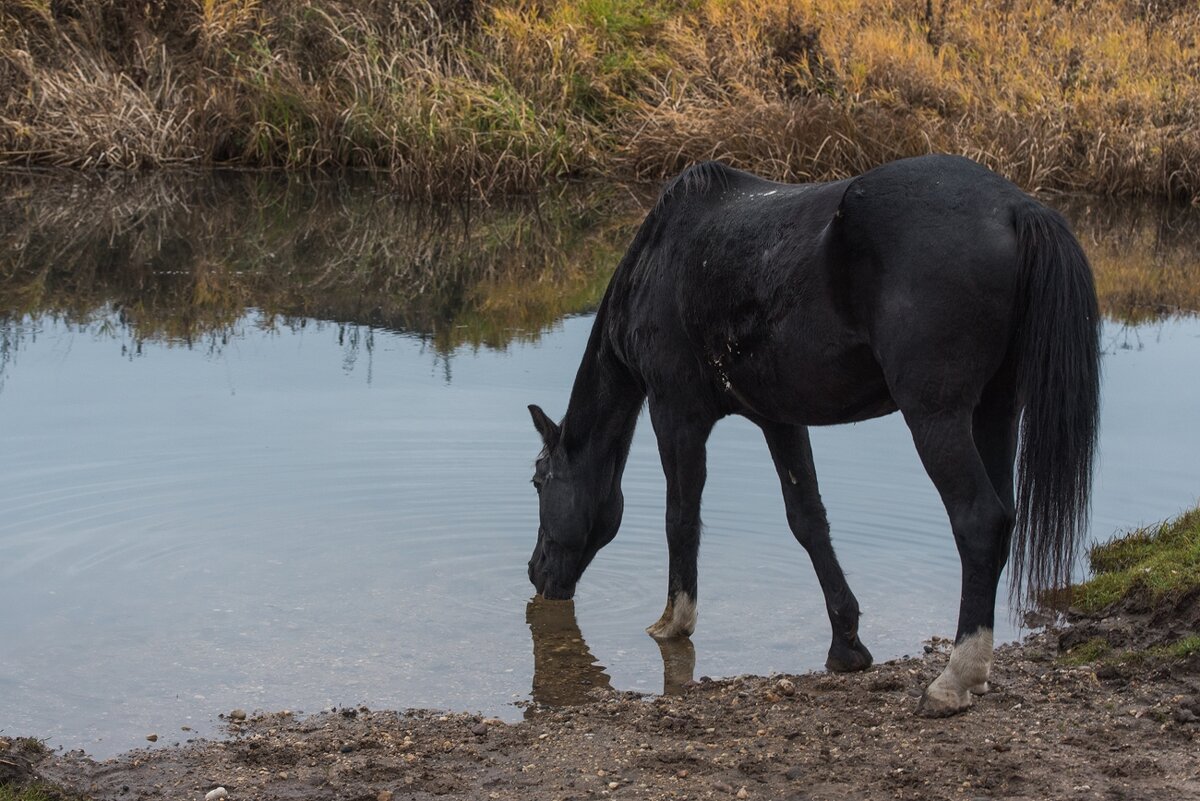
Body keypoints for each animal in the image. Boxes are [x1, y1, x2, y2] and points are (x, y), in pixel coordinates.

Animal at [530, 153, 1099, 714]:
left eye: (538, 482)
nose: (535, 572)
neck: (659, 260)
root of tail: (1015, 208)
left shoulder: (676, 414)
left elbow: (681, 519)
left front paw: (673, 622)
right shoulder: (780, 419)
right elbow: (808, 521)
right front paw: (846, 644)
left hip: (936, 416)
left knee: (979, 521)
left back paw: (952, 680)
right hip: (995, 411)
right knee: (1002, 519)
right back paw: (975, 673)